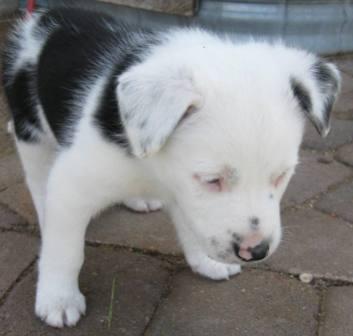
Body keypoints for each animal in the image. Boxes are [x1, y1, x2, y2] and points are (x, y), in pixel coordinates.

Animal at [1, 7, 340, 328]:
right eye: (211, 180)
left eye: (281, 176)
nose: (255, 251)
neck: (155, 170)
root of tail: (45, 15)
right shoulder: (72, 182)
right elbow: (66, 251)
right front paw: (58, 299)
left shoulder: (182, 192)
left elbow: (193, 226)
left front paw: (206, 262)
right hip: (31, 132)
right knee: (39, 182)